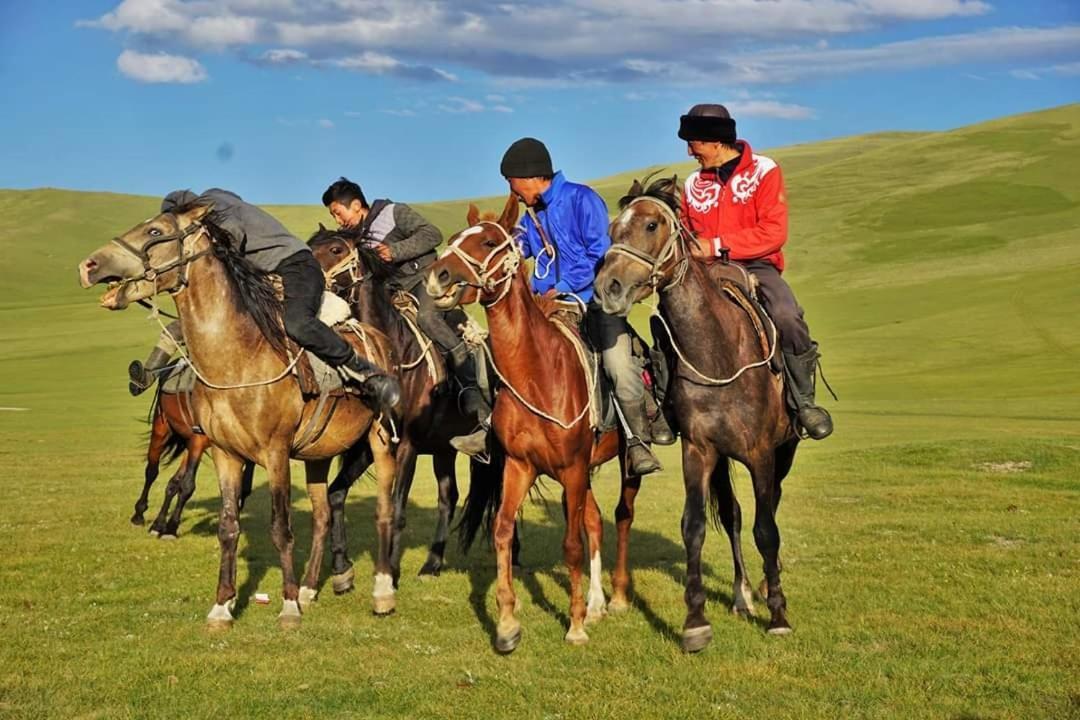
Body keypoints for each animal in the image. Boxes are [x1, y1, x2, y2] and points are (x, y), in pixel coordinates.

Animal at [131, 386, 254, 537]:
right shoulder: (198, 440)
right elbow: (187, 485)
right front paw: (171, 528)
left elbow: (243, 488)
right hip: (162, 428)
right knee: (152, 472)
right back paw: (140, 514)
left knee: (173, 482)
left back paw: (158, 524)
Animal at [304, 227, 505, 587]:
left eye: (336, 249)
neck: (393, 350)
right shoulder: (369, 446)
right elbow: (336, 494)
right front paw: (341, 567)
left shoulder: (408, 445)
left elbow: (396, 510)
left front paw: (390, 572)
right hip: (444, 450)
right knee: (448, 498)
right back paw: (432, 564)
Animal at [421, 195, 639, 651]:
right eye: (455, 238)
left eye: (488, 242)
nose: (436, 276)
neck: (538, 374)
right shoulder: (520, 467)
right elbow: (503, 531)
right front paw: (506, 622)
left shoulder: (571, 469)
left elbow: (571, 545)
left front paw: (574, 625)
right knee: (596, 521)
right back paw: (596, 602)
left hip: (620, 465)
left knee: (622, 516)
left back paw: (616, 598)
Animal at [596, 177, 799, 651]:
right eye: (613, 228)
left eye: (651, 225)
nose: (607, 287)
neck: (718, 352)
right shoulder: (700, 450)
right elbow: (695, 526)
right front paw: (695, 622)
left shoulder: (761, 452)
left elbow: (767, 528)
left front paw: (778, 614)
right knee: (734, 514)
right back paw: (743, 594)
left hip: (785, 449)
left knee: (770, 507)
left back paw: (765, 588)